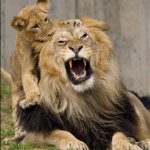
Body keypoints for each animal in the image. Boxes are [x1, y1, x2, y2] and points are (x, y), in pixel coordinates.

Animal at [15, 18, 149, 149]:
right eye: (61, 41)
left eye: (84, 36)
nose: (76, 48)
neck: (82, 98)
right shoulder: (32, 135)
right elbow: (59, 133)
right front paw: (73, 143)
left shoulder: (111, 123)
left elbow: (119, 134)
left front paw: (127, 144)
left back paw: (142, 142)